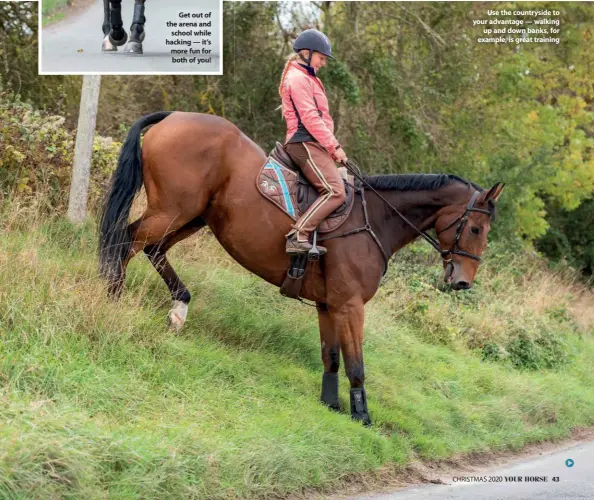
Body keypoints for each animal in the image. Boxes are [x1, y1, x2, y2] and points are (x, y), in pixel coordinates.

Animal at [98, 111, 504, 424]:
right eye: (475, 228)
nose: (463, 282)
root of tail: (174, 117)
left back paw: (178, 307)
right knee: (125, 241)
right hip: (172, 210)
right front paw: (362, 416)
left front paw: (331, 404)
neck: (375, 218)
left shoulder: (329, 305)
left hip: (191, 217)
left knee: (152, 249)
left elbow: (331, 358)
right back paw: (112, 298)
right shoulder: (350, 305)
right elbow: (356, 364)